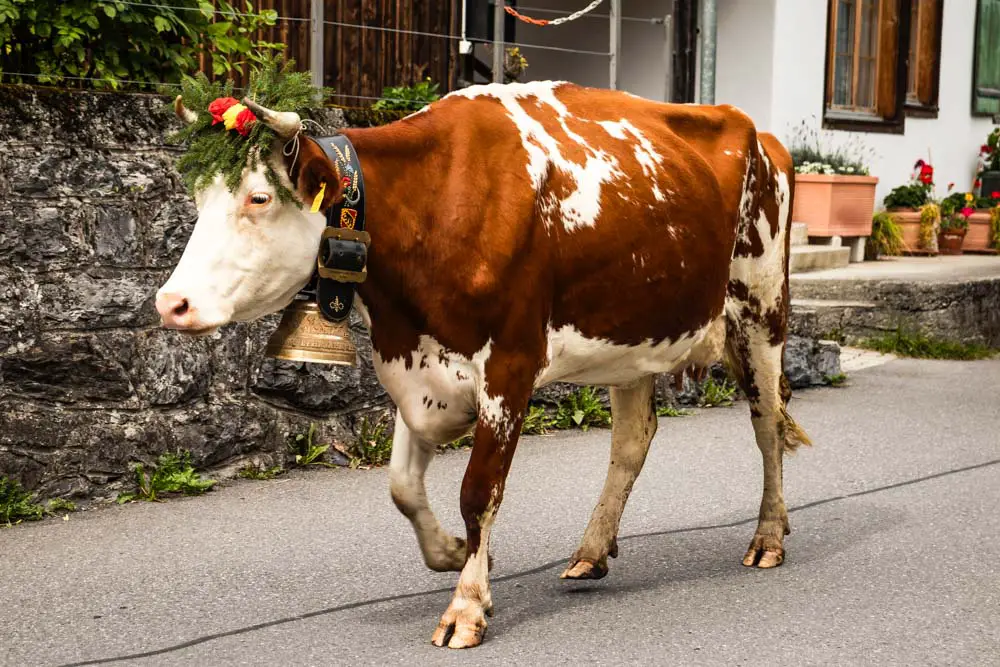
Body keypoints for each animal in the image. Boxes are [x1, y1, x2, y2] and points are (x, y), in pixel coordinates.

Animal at [158, 81, 812, 648]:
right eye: (197, 199)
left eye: (259, 198)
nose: (171, 303)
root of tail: (759, 132)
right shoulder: (419, 368)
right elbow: (403, 488)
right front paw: (453, 553)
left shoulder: (510, 368)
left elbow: (478, 491)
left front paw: (467, 606)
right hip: (635, 335)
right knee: (633, 439)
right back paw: (591, 551)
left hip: (760, 311)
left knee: (767, 425)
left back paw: (768, 536)